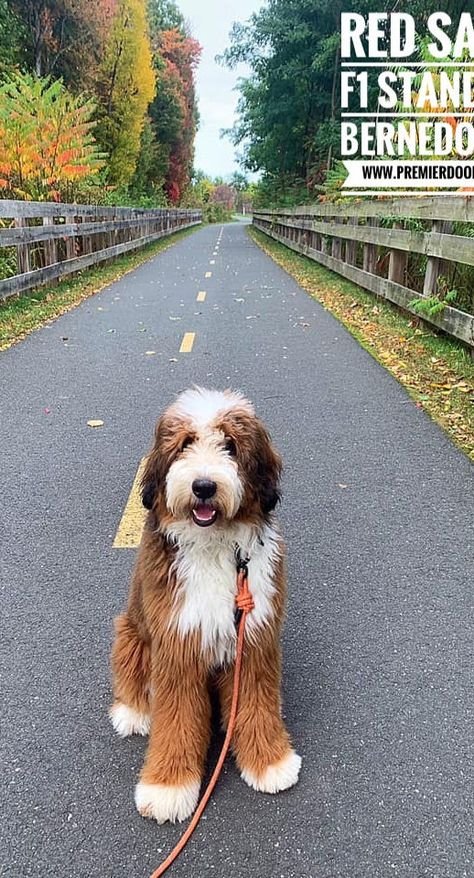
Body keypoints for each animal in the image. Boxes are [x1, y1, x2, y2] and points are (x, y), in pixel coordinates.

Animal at [109, 388, 302, 820]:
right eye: (185, 444)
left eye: (230, 445)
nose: (203, 487)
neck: (216, 546)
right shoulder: (176, 641)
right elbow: (177, 718)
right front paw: (168, 787)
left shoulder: (255, 638)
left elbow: (257, 702)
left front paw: (271, 762)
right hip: (130, 632)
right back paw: (132, 712)